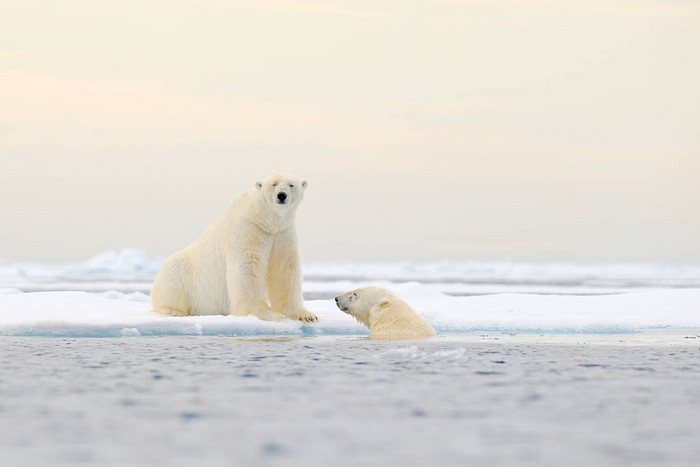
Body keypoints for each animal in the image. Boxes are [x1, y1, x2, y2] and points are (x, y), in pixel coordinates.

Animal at [154, 174, 320, 324]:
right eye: (273, 184)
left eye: (291, 185)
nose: (281, 195)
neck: (266, 221)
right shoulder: (247, 229)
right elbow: (247, 267)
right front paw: (267, 314)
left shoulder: (282, 234)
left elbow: (285, 270)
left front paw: (306, 315)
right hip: (182, 273)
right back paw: (173, 311)